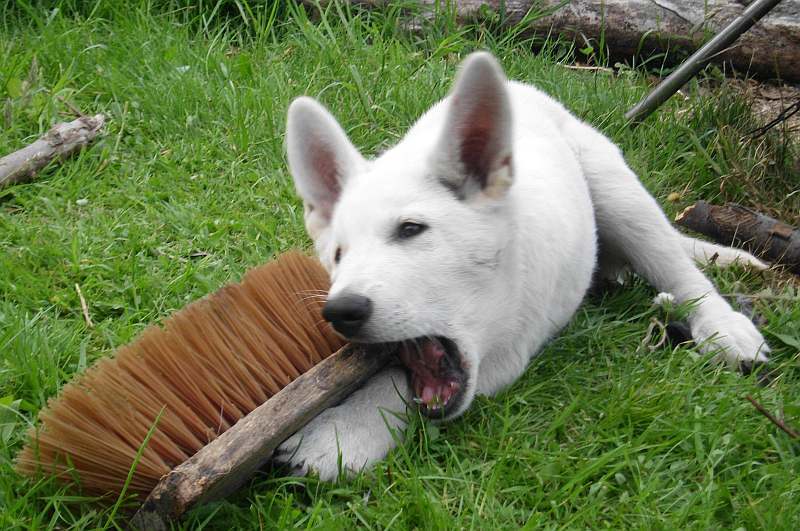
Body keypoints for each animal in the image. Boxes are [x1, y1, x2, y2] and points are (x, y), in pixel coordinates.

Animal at [276, 52, 768, 480]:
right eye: (338, 255)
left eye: (411, 229)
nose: (341, 311)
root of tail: (521, 89)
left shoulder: (508, 353)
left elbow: (393, 381)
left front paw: (342, 432)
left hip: (618, 191)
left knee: (676, 266)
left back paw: (724, 326)